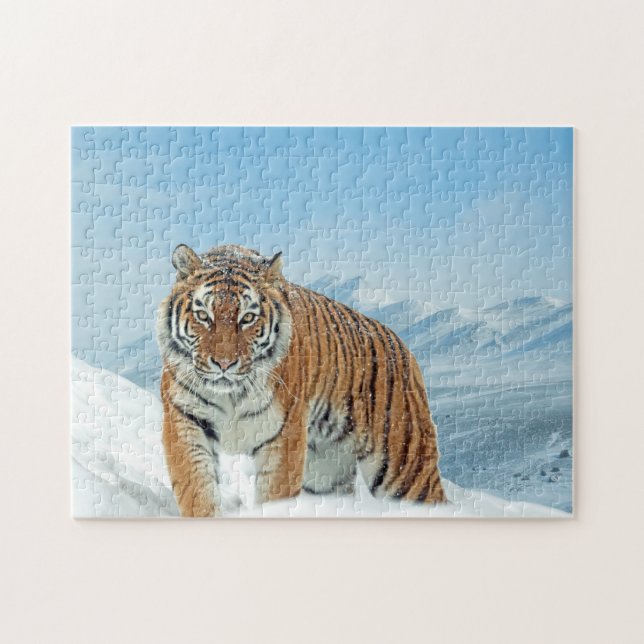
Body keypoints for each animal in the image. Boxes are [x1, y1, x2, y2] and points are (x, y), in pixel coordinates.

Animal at [157, 243, 446, 517]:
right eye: (203, 316)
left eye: (247, 318)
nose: (224, 364)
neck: (231, 394)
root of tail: (404, 347)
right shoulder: (185, 420)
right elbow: (196, 488)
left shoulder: (284, 436)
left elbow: (274, 496)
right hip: (327, 471)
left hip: (406, 469)